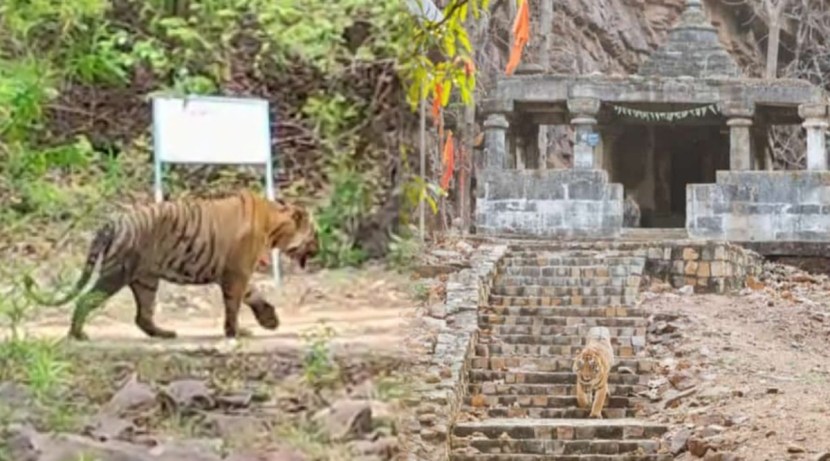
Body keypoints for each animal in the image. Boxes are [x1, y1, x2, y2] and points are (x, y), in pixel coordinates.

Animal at [22, 188, 322, 342]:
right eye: (315, 234)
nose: (319, 249)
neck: (275, 225)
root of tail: (115, 220)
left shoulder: (238, 273)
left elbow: (253, 295)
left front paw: (269, 321)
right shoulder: (236, 273)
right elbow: (235, 305)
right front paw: (235, 332)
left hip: (146, 279)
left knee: (142, 315)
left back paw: (164, 333)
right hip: (118, 271)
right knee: (87, 298)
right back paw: (78, 334)